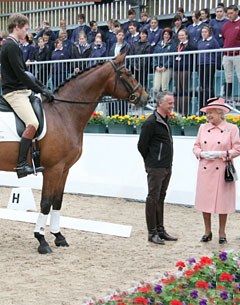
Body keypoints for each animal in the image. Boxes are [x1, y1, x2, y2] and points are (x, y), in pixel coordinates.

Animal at [0, 53, 148, 253]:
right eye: (128, 73)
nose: (145, 97)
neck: (64, 113)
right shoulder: (53, 169)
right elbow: (46, 203)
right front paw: (42, 240)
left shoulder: (64, 169)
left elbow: (57, 201)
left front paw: (58, 236)